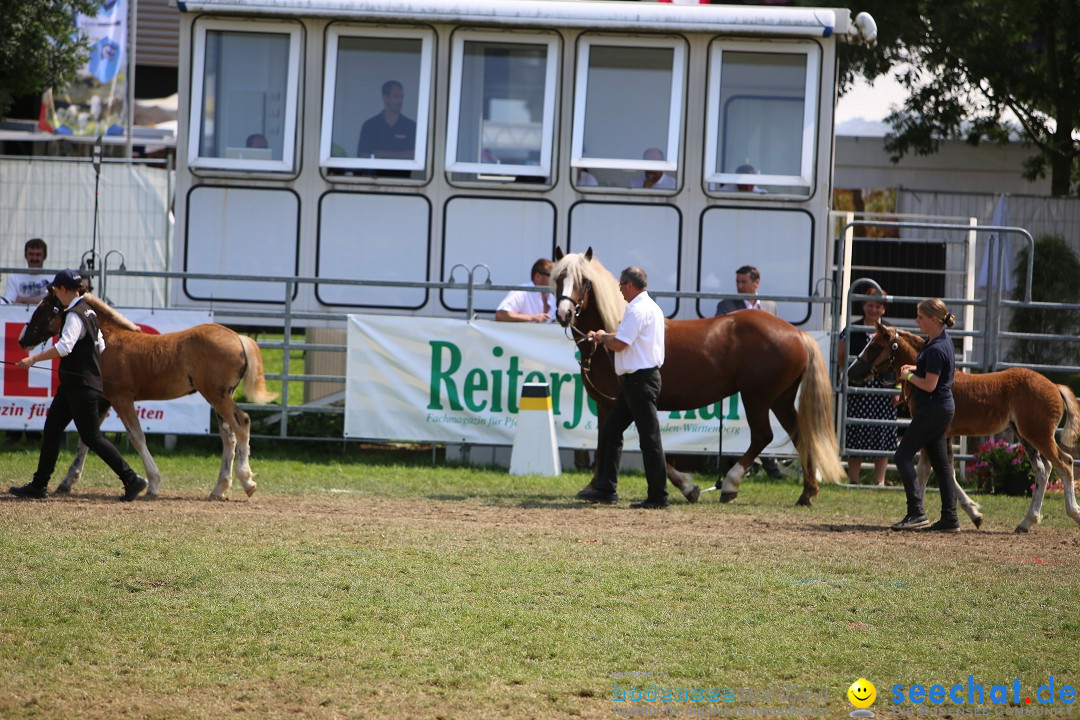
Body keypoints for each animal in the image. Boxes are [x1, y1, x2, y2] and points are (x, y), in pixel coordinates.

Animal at [19, 291, 276, 500]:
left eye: (43, 311)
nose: (22, 340)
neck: (108, 342)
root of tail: (238, 338)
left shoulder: (121, 398)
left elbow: (136, 437)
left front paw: (152, 484)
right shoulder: (103, 400)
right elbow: (87, 439)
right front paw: (67, 482)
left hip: (218, 396)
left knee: (242, 423)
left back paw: (247, 482)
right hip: (219, 398)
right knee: (229, 436)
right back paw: (220, 489)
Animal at [548, 248, 842, 507]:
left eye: (584, 281)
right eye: (559, 278)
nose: (564, 314)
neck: (611, 336)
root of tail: (797, 334)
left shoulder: (624, 403)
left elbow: (637, 445)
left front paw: (686, 486)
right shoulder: (607, 405)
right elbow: (605, 440)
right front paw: (595, 487)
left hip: (757, 398)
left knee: (762, 436)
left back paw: (730, 484)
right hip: (780, 399)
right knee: (800, 435)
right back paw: (807, 494)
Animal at [851, 321, 1080, 535]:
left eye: (875, 346)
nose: (852, 371)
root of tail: (1055, 386)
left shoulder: (932, 434)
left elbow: (927, 472)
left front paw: (917, 517)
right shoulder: (944, 436)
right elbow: (946, 472)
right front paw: (974, 514)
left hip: (1038, 434)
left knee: (1065, 464)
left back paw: (1073, 512)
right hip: (1026, 436)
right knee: (1043, 470)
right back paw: (1026, 522)